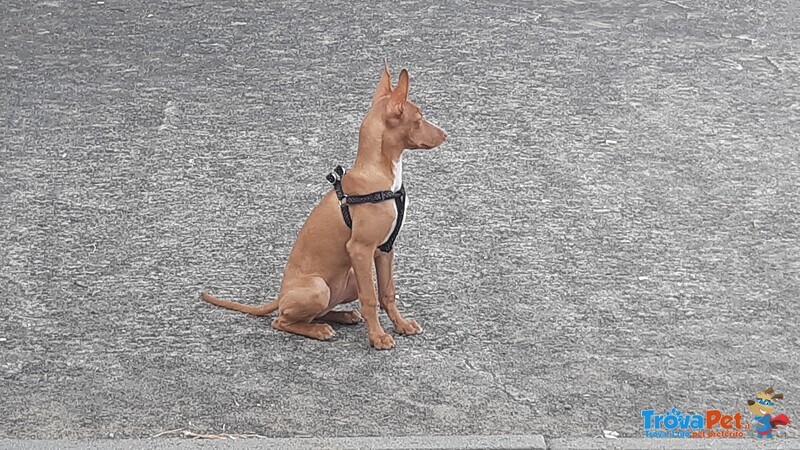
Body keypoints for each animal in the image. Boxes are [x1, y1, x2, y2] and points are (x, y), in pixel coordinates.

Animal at [200, 65, 446, 350]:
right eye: (419, 119)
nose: (445, 134)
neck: (379, 176)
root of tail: (280, 295)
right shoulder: (360, 250)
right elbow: (371, 299)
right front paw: (378, 337)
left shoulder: (385, 249)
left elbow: (387, 293)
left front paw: (401, 325)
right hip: (319, 287)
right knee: (283, 320)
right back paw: (318, 330)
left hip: (347, 280)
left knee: (319, 311)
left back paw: (343, 316)